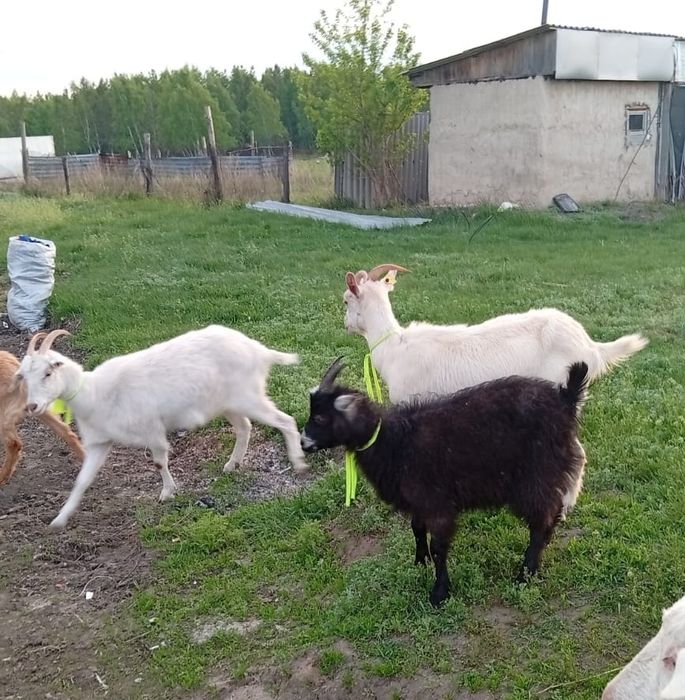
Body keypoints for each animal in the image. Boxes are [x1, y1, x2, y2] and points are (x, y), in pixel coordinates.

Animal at [16, 326, 307, 529]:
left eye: (48, 373)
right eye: (25, 377)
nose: (32, 406)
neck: (94, 392)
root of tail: (259, 351)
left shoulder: (151, 429)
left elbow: (158, 462)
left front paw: (167, 492)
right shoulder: (100, 442)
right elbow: (82, 480)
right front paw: (59, 520)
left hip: (248, 396)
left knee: (285, 421)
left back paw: (299, 462)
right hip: (229, 403)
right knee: (244, 427)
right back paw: (232, 464)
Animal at [300, 358, 588, 606]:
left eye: (320, 418)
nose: (303, 443)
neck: (393, 440)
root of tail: (566, 399)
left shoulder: (437, 502)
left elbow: (439, 546)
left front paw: (439, 592)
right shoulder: (419, 500)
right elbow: (417, 529)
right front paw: (420, 561)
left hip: (536, 476)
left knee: (541, 522)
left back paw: (525, 574)